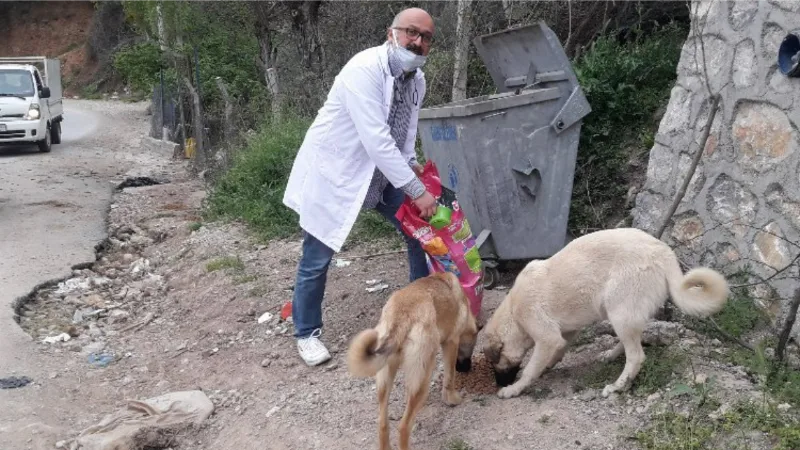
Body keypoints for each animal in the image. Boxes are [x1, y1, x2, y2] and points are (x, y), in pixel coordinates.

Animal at [346, 270, 478, 450]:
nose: (466, 368)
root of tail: (400, 317)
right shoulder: (451, 343)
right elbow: (449, 377)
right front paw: (452, 399)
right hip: (422, 377)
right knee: (403, 427)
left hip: (385, 379)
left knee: (382, 423)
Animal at [482, 229, 732, 398]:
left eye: (496, 365)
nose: (498, 384)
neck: (513, 312)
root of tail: (663, 250)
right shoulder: (566, 333)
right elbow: (556, 352)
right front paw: (548, 367)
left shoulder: (546, 337)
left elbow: (530, 369)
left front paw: (514, 389)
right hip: (623, 314)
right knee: (631, 343)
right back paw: (611, 356)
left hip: (618, 312)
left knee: (636, 356)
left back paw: (618, 386)